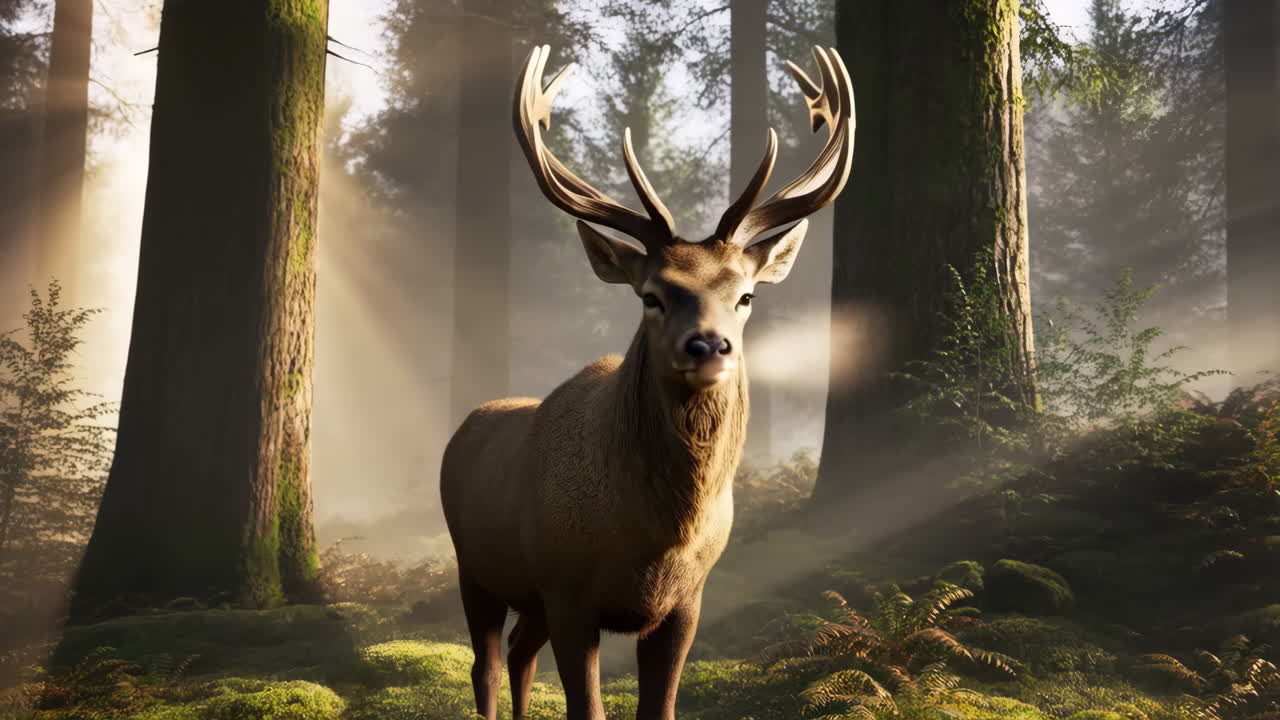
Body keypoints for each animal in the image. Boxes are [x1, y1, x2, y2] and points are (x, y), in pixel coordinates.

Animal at [439, 44, 854, 720]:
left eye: (745, 295)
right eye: (652, 296)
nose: (709, 345)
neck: (656, 541)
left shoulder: (686, 604)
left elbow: (659, 707)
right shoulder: (568, 590)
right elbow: (586, 707)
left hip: (527, 595)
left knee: (522, 651)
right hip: (474, 565)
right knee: (489, 664)